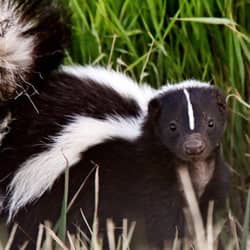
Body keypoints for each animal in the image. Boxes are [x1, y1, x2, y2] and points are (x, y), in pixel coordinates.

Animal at [0, 0, 229, 249]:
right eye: (172, 127)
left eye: (210, 123)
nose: (194, 147)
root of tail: (19, 106)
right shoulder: (149, 180)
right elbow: (162, 223)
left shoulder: (211, 180)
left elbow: (212, 215)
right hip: (45, 189)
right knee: (36, 227)